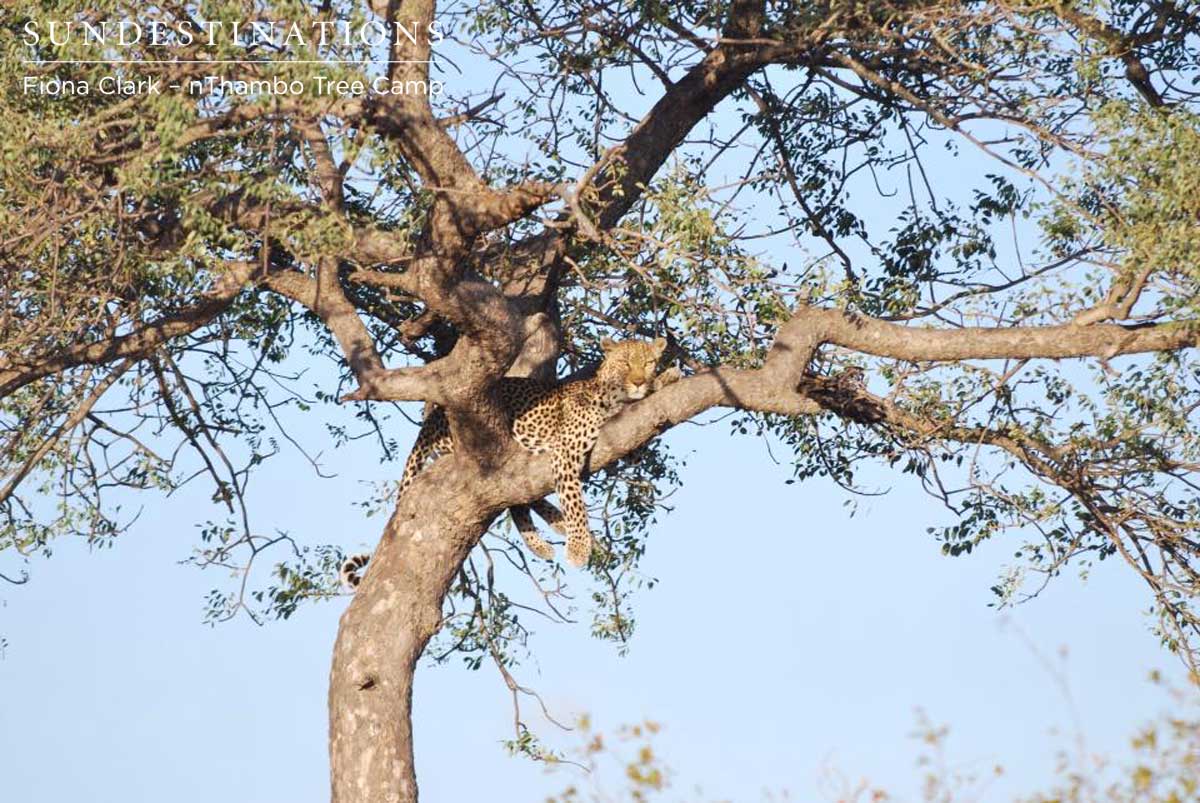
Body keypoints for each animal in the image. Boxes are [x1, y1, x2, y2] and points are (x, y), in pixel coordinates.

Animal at [339, 338, 681, 589]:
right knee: (518, 501)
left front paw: (666, 378)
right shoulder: (566, 448)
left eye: (647, 363)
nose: (638, 381)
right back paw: (556, 531)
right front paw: (578, 549)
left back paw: (552, 529)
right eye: (625, 363)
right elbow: (575, 502)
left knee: (520, 500)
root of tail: (431, 420)